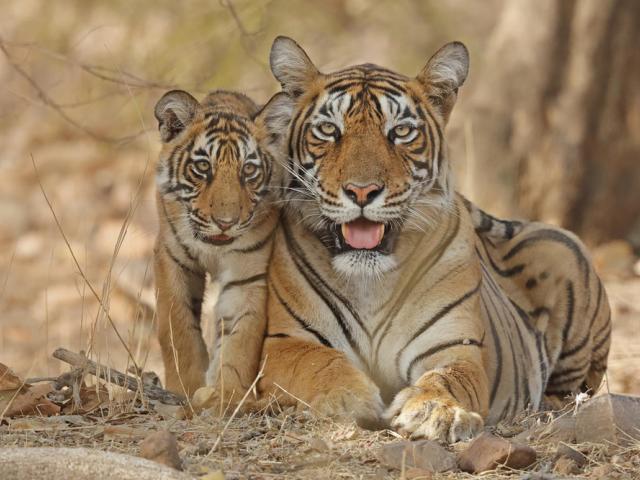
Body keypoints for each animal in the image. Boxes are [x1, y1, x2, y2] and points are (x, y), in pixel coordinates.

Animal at [153, 88, 290, 399]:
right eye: (203, 166)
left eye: (248, 170)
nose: (225, 222)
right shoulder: (172, 260)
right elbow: (177, 328)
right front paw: (186, 387)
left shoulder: (248, 275)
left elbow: (240, 341)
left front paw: (228, 396)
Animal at [255, 36, 611, 442]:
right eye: (329, 130)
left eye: (401, 132)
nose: (362, 191)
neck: (370, 281)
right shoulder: (285, 342)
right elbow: (318, 364)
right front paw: (347, 398)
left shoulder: (455, 347)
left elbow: (447, 378)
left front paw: (433, 411)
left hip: (562, 246)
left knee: (570, 391)